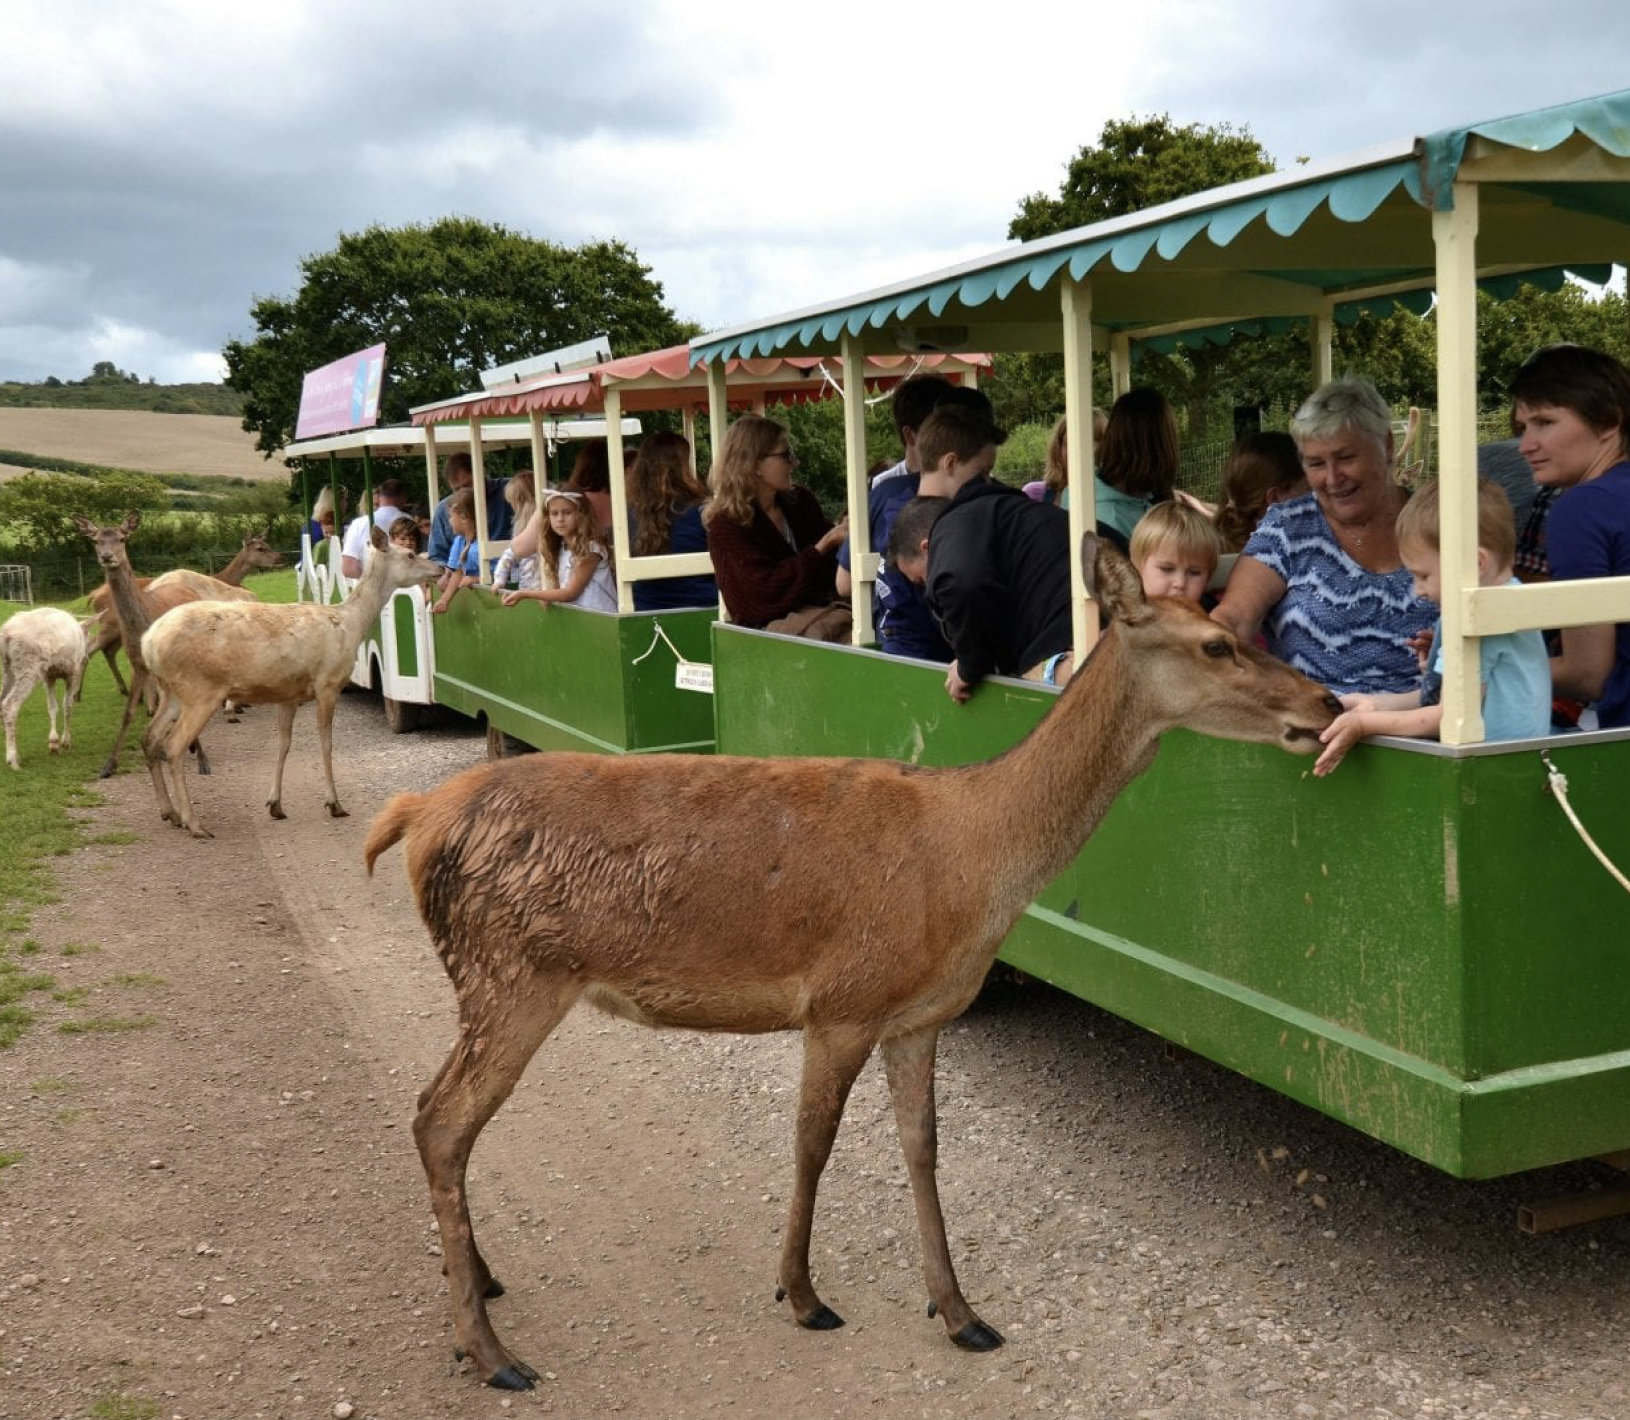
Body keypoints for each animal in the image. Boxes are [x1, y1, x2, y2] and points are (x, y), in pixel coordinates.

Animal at [138, 524, 440, 841]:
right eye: (409, 554)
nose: (440, 568)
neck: (350, 625)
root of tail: (149, 642)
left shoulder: (288, 694)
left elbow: (283, 744)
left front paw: (275, 804)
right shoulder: (328, 682)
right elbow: (326, 743)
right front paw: (334, 803)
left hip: (171, 691)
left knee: (149, 738)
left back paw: (170, 813)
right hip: (200, 690)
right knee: (173, 746)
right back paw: (194, 824)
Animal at [370, 538, 1349, 1395]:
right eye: (1217, 642)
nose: (1327, 705)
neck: (974, 862)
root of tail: (415, 817)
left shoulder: (918, 1016)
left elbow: (922, 1148)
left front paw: (961, 1312)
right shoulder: (842, 998)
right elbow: (814, 1143)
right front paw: (802, 1295)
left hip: (489, 979)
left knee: (430, 1112)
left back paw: (483, 1285)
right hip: (512, 974)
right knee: (443, 1121)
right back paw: (490, 1350)